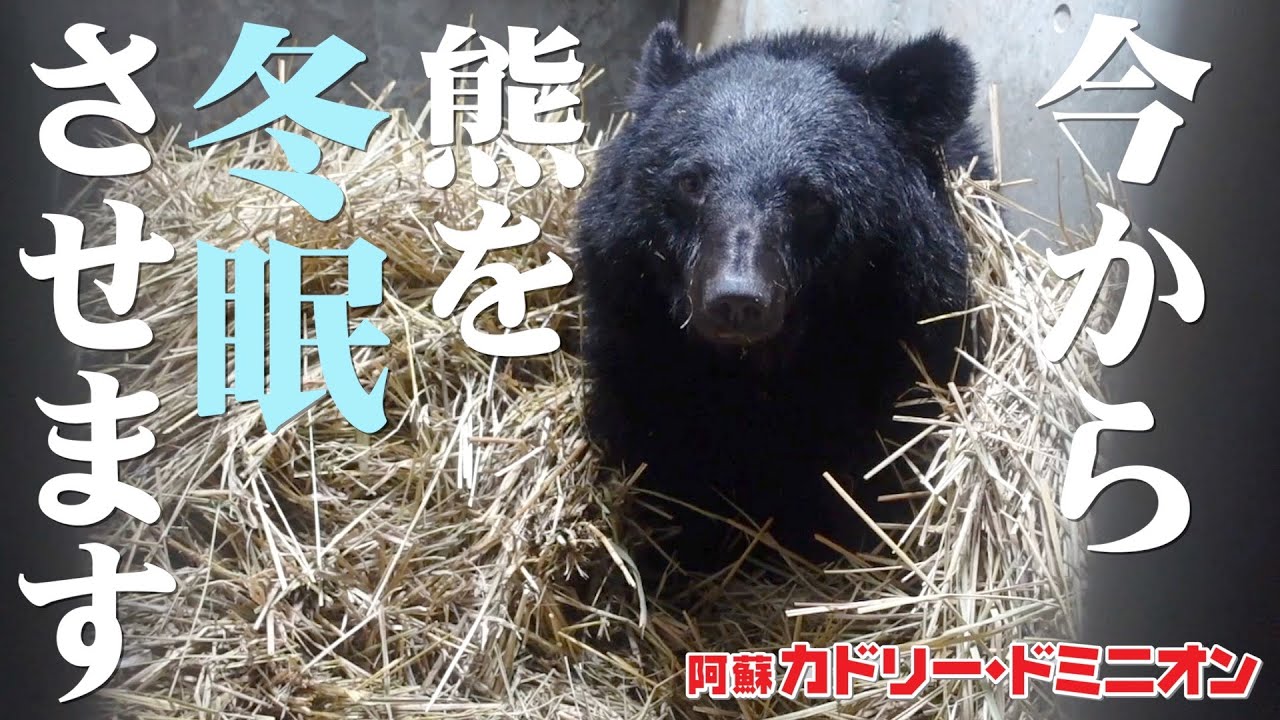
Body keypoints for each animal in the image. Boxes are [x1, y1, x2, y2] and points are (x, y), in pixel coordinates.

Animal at [574, 21, 989, 577]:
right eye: (690, 181)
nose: (736, 300)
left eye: (811, 197)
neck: (759, 366)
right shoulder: (636, 330)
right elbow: (662, 448)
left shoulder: (906, 333)